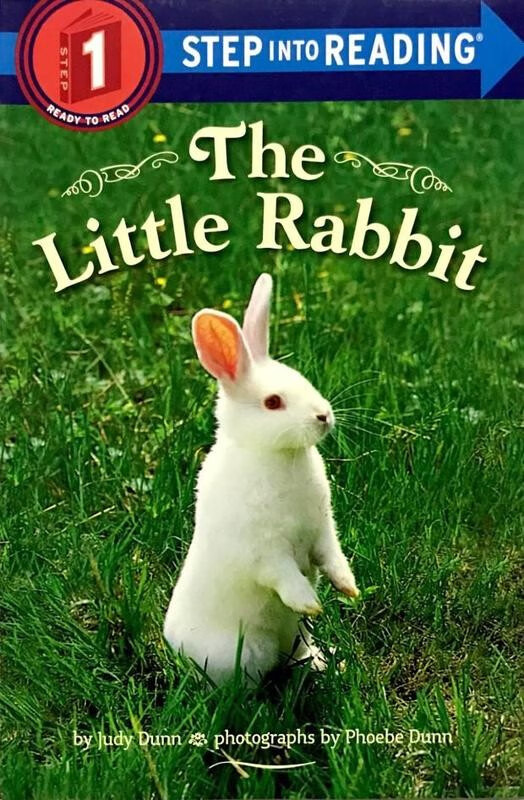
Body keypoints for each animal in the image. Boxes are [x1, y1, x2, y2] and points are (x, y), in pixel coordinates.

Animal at [163, 273, 359, 685]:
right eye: (273, 402)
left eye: (304, 380)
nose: (324, 416)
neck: (278, 456)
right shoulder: (263, 550)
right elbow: (284, 576)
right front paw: (311, 603)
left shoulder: (322, 530)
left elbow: (332, 556)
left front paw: (348, 587)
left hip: (296, 637)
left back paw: (325, 662)